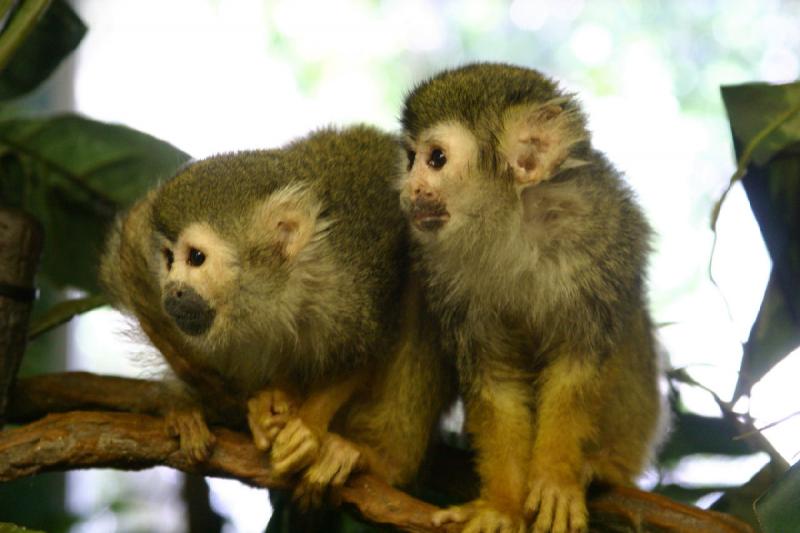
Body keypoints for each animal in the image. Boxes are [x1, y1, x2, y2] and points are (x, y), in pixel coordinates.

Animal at [100, 123, 450, 502]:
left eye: (195, 258)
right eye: (167, 259)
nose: (173, 290)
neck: (276, 288)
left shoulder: (359, 279)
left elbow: (371, 346)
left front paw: (309, 425)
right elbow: (132, 244)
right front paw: (253, 403)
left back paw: (381, 462)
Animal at [396, 63, 664, 532]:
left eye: (436, 159)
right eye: (410, 159)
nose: (409, 188)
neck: (512, 226)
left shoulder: (601, 238)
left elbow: (577, 367)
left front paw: (556, 480)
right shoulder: (443, 274)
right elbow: (496, 381)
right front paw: (502, 505)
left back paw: (608, 464)